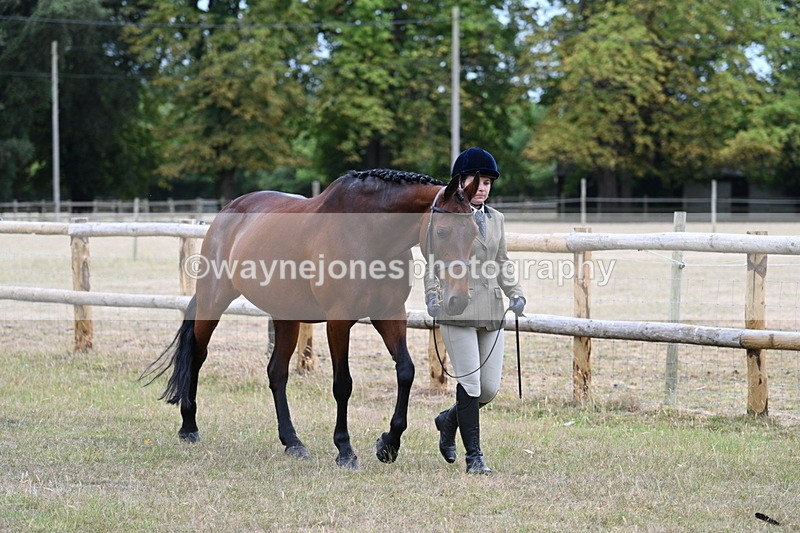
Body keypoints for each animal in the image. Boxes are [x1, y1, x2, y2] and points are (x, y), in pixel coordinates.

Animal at [142, 169, 480, 468]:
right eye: (442, 231)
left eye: (475, 233)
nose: (459, 299)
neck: (368, 233)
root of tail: (227, 213)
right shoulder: (339, 321)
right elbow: (343, 384)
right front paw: (345, 450)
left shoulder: (390, 315)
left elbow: (406, 372)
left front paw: (388, 444)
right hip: (214, 301)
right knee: (197, 355)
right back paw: (189, 427)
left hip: (285, 317)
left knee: (276, 373)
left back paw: (292, 442)